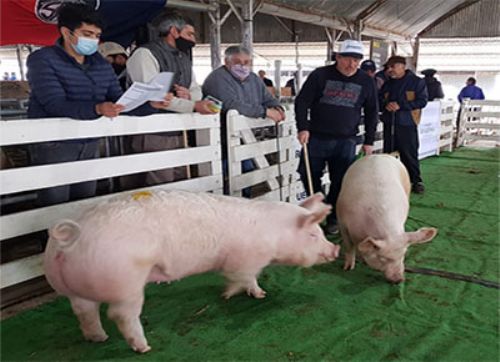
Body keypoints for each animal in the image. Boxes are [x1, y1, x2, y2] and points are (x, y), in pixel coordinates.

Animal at [44, 192, 340, 354]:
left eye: (321, 232)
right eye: (313, 235)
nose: (335, 249)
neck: (275, 234)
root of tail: (72, 236)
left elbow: (248, 279)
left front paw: (253, 294)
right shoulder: (244, 259)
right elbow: (243, 277)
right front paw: (235, 295)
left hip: (74, 289)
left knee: (84, 311)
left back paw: (98, 338)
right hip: (127, 285)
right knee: (120, 315)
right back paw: (144, 347)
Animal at [336, 154, 438, 284]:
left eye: (403, 255)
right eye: (383, 258)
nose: (399, 279)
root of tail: (381, 154)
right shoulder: (342, 221)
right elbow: (349, 246)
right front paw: (347, 268)